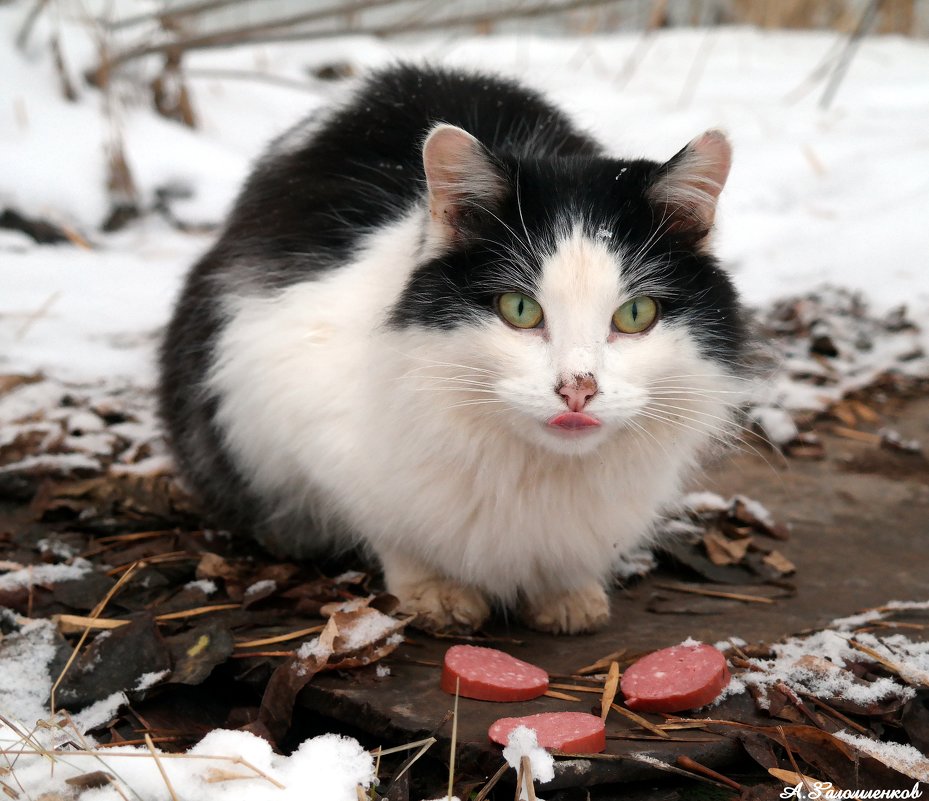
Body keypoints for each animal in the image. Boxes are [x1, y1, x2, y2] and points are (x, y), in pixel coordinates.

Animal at [158, 64, 748, 632]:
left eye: (635, 315)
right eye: (520, 310)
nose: (577, 390)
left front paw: (566, 593)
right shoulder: (286, 389)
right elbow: (392, 529)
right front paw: (434, 594)